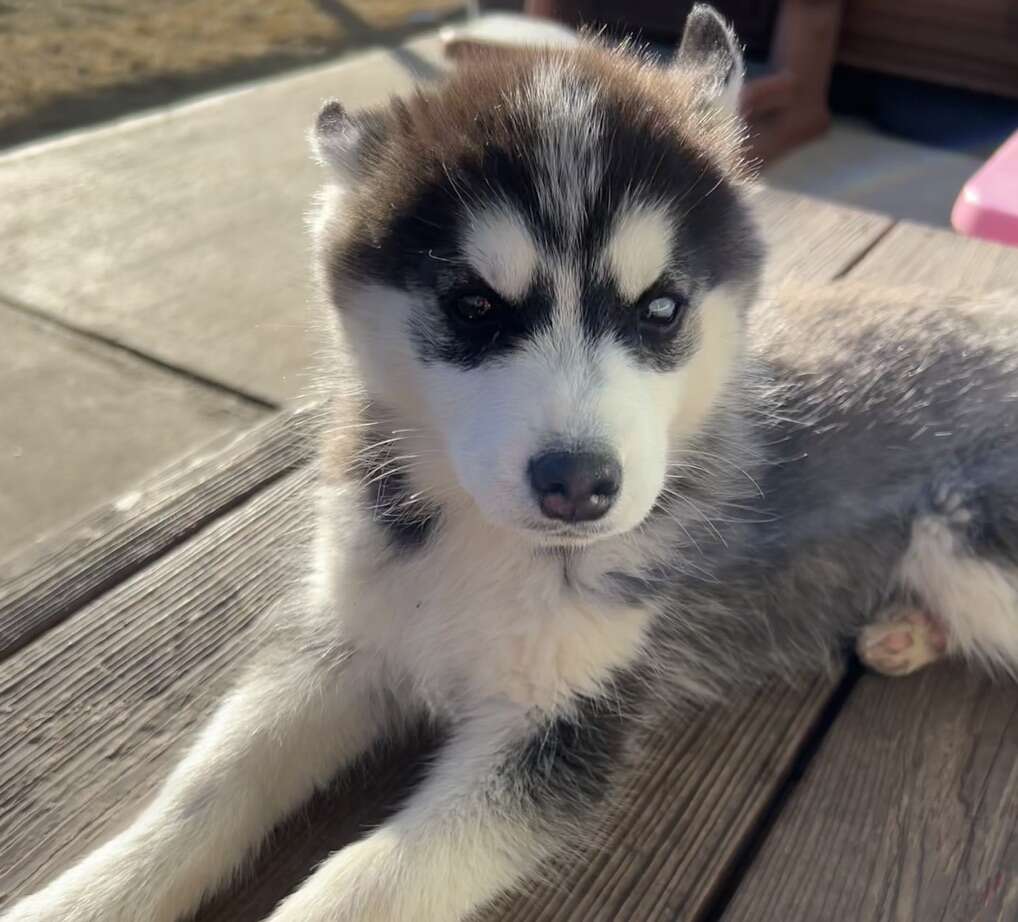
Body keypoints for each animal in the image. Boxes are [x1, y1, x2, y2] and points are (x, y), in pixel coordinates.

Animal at [5, 7, 1018, 919]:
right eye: (473, 308)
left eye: (661, 309)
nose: (579, 485)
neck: (482, 545)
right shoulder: (346, 637)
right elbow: (208, 786)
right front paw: (88, 895)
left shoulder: (565, 728)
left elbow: (365, 881)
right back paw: (901, 632)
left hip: (973, 555)